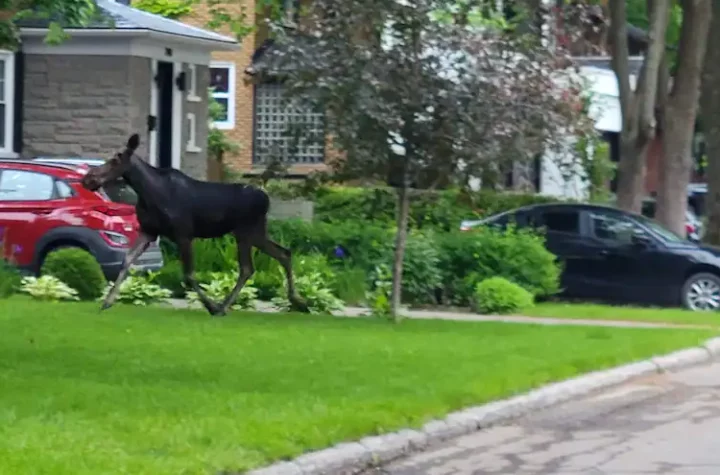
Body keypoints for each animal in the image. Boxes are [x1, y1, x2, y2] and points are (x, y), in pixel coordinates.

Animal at [80, 135, 308, 316]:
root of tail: (266, 197)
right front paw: (107, 302)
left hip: (245, 231)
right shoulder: (149, 231)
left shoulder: (183, 234)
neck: (147, 193)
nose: (88, 178)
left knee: (248, 267)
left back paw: (223, 306)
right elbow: (126, 261)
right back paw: (298, 301)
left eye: (115, 159)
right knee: (283, 253)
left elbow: (189, 275)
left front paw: (211, 306)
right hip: (255, 232)